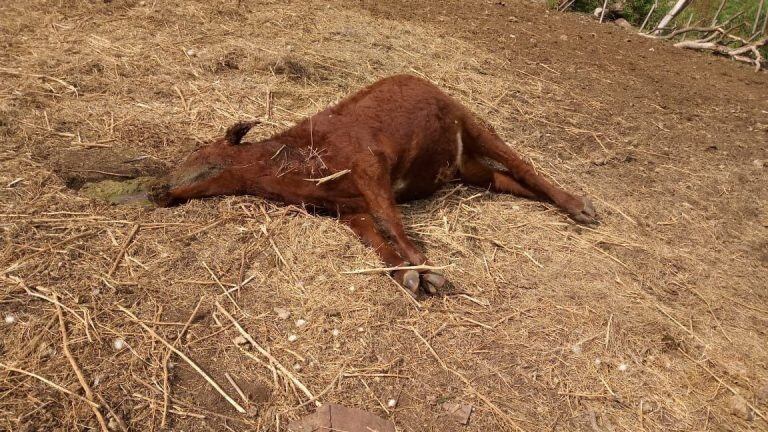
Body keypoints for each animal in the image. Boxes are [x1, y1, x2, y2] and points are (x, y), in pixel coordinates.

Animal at [150, 76, 592, 296]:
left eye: (198, 153)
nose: (157, 188)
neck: (299, 164)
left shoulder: (370, 166)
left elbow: (390, 222)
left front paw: (429, 271)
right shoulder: (348, 208)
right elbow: (375, 238)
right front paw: (410, 276)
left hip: (468, 119)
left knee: (521, 163)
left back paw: (580, 207)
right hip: (463, 167)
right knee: (505, 179)